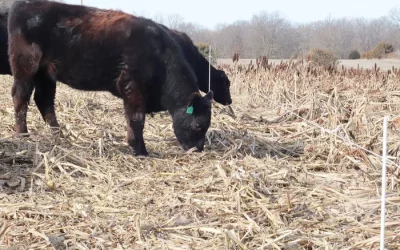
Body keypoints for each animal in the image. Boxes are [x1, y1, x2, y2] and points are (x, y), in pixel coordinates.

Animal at [7, 0, 212, 156]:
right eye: (198, 126)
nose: (198, 150)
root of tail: (24, 4)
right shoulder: (132, 86)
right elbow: (137, 118)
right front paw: (141, 151)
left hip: (46, 74)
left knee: (44, 101)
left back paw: (59, 135)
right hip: (26, 66)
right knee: (21, 97)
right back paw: (23, 134)